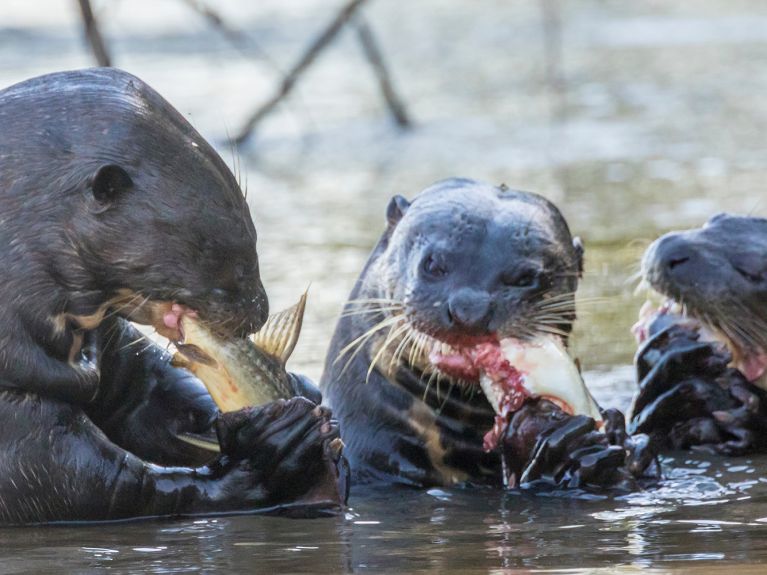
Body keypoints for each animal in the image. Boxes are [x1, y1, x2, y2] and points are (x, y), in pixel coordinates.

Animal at [0, 68, 344, 528]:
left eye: (252, 232)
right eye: (212, 245)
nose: (260, 310)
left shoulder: (104, 343)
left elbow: (146, 389)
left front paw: (304, 392)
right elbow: (87, 480)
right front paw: (267, 454)